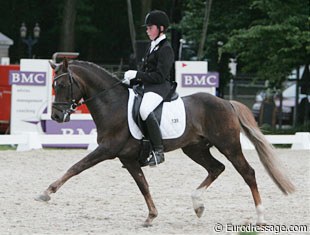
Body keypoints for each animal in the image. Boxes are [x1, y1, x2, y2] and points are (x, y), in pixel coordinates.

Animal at [35, 58, 294, 226]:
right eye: (53, 85)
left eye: (62, 85)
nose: (56, 116)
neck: (112, 104)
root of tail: (226, 102)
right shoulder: (128, 158)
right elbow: (143, 185)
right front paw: (151, 216)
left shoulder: (107, 149)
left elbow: (76, 167)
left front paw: (46, 192)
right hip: (195, 149)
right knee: (216, 168)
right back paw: (198, 204)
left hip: (228, 146)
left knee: (247, 172)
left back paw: (260, 217)